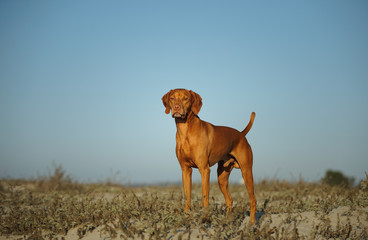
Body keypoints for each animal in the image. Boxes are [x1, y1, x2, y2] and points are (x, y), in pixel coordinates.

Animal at [162, 89, 258, 224]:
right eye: (172, 98)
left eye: (186, 98)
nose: (176, 107)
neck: (185, 130)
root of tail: (241, 134)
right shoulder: (185, 170)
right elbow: (187, 197)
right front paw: (186, 218)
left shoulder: (204, 169)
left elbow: (205, 197)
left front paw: (205, 219)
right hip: (222, 178)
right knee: (229, 200)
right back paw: (227, 221)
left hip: (246, 171)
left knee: (253, 199)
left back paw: (252, 223)